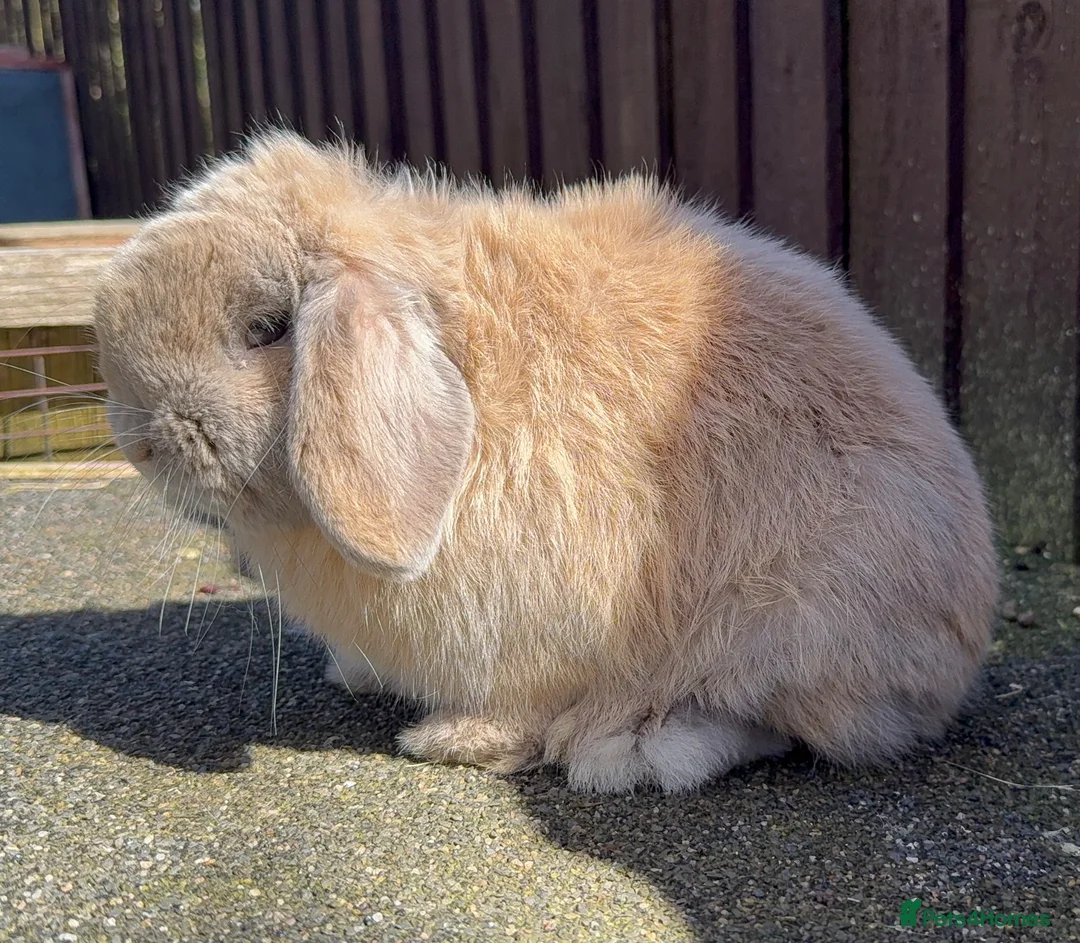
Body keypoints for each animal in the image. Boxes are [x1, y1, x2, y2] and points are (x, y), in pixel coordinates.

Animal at [92, 130, 998, 794]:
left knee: (777, 724)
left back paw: (634, 746)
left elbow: (518, 708)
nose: (141, 440)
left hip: (794, 615)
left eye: (268, 328)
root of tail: (963, 641)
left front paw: (454, 742)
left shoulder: (531, 635)